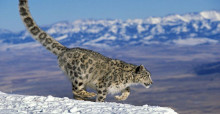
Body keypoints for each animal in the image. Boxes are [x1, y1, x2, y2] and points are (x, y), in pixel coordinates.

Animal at [18, 0, 153, 101]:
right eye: (147, 75)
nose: (151, 83)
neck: (127, 78)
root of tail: (67, 50)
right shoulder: (102, 85)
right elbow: (102, 96)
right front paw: (100, 101)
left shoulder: (122, 86)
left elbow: (128, 90)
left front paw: (121, 97)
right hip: (78, 76)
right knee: (76, 89)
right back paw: (90, 95)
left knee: (76, 92)